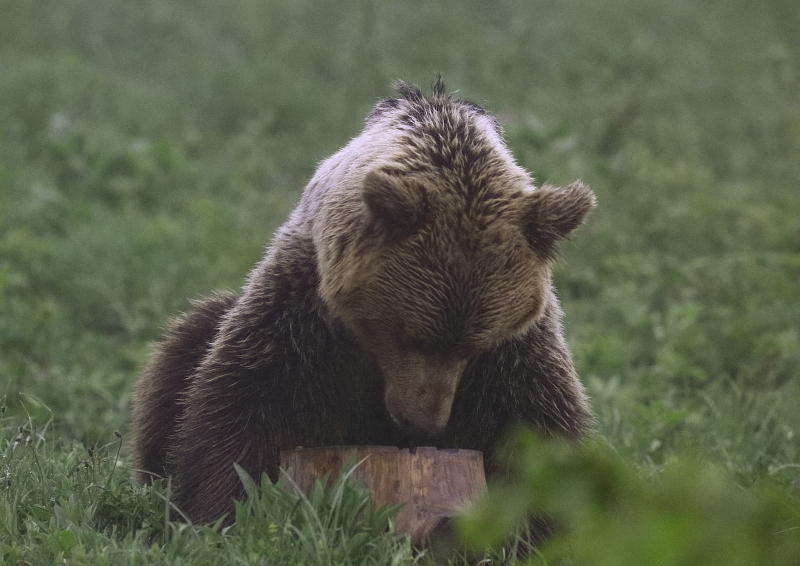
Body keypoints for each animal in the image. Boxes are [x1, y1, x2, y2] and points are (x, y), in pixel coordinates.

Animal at [128, 82, 596, 532]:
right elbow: (244, 403)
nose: (422, 423)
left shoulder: (513, 354)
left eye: (474, 344)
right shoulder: (305, 314)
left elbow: (535, 426)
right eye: (409, 335)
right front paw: (215, 513)